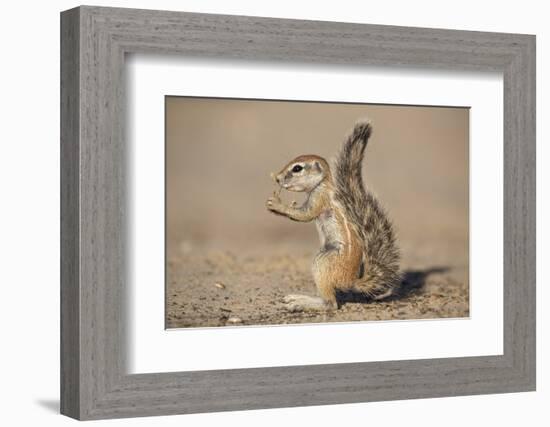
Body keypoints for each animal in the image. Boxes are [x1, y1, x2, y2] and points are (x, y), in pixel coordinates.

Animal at [268, 120, 402, 310]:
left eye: (297, 168)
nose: (278, 178)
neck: (323, 184)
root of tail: (351, 281)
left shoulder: (319, 199)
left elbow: (305, 215)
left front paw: (278, 205)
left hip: (324, 262)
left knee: (330, 304)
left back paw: (300, 302)